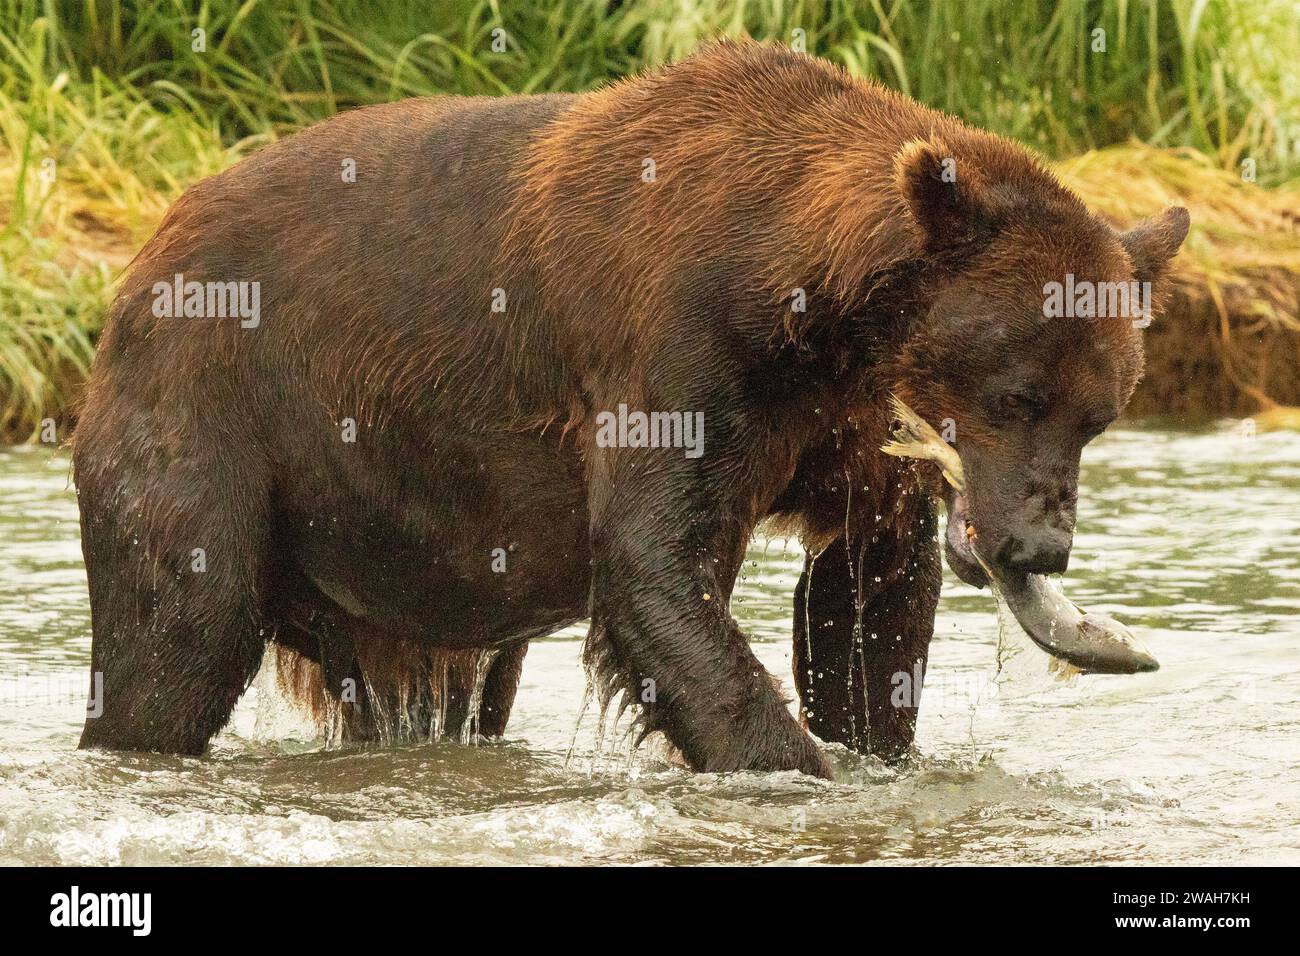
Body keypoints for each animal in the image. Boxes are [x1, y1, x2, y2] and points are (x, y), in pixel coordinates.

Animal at [72, 38, 1188, 776]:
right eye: (1018, 392)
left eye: (1100, 413)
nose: (1038, 547)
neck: (813, 306)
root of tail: (145, 254)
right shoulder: (680, 353)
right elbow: (657, 569)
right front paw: (795, 762)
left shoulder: (849, 426)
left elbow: (864, 600)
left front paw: (873, 738)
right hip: (220, 415)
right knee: (176, 633)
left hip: (389, 543)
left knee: (445, 687)